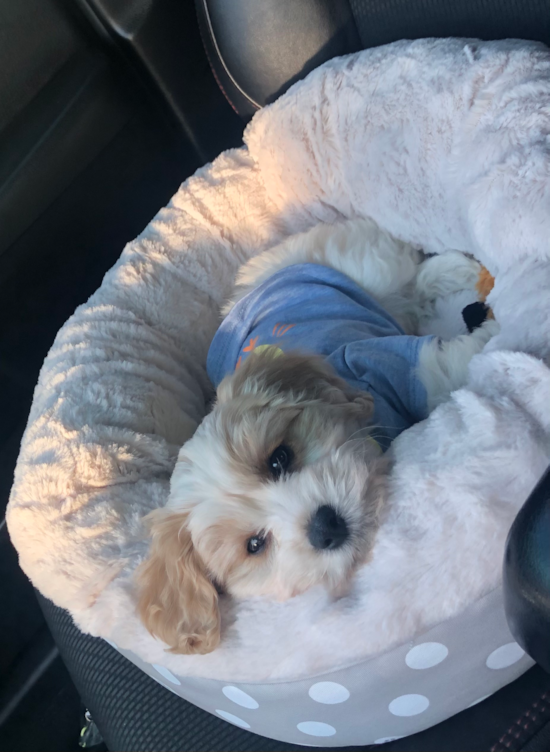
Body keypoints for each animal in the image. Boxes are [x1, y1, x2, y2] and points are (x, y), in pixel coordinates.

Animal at [138, 216, 500, 652]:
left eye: (279, 458)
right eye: (254, 546)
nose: (325, 528)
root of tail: (250, 290)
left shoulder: (389, 362)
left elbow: (444, 368)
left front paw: (496, 329)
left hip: (355, 265)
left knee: (406, 275)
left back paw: (459, 269)